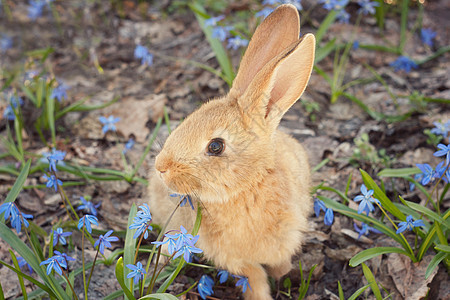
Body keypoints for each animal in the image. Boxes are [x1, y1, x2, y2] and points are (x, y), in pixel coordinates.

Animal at [149, 4, 314, 300]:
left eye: (216, 146)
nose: (161, 167)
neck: (247, 187)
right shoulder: (236, 259)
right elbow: (255, 278)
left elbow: (279, 265)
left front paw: (285, 277)